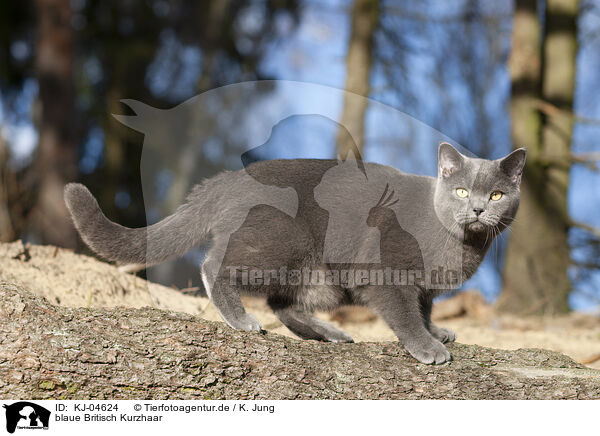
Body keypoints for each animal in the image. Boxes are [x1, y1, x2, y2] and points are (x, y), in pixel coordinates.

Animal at [64, 143, 524, 364]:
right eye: (462, 191)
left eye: (497, 195)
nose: (478, 209)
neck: (459, 243)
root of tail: (226, 181)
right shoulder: (383, 270)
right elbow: (406, 314)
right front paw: (428, 347)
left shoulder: (423, 288)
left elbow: (424, 308)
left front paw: (437, 332)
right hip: (279, 245)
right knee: (216, 267)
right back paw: (242, 320)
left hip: (315, 273)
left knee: (283, 304)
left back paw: (330, 332)